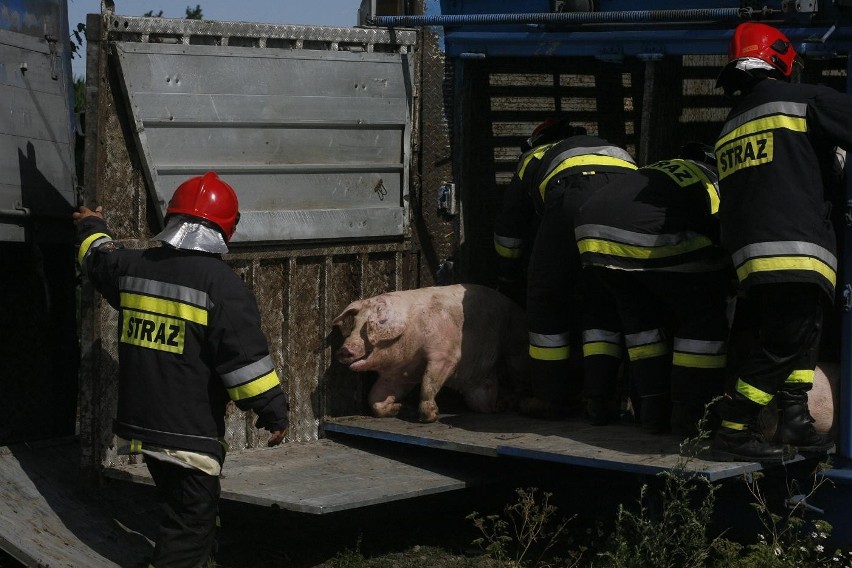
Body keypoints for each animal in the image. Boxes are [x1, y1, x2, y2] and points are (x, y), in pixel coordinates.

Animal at [332, 284, 524, 422]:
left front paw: (433, 416)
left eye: (370, 326)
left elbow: (428, 383)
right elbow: (374, 399)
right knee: (484, 405)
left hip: (515, 349)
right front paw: (401, 408)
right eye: (354, 324)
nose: (344, 349)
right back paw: (501, 405)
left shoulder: (446, 356)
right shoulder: (399, 376)